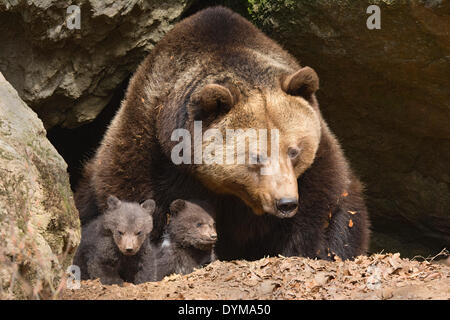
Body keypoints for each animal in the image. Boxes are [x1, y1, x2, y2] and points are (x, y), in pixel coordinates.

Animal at [76, 6, 370, 262]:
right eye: (256, 156)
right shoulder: (149, 145)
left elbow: (329, 209)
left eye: (294, 151)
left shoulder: (317, 162)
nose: (285, 202)